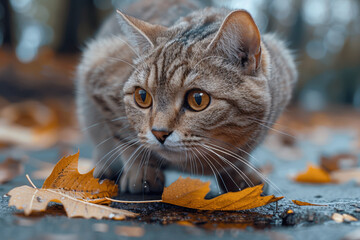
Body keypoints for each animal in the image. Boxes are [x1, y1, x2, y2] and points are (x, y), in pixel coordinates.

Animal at [75, 0, 296, 194]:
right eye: (142, 96)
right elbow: (127, 138)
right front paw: (141, 171)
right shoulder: (99, 74)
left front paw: (238, 173)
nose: (159, 133)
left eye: (198, 99)